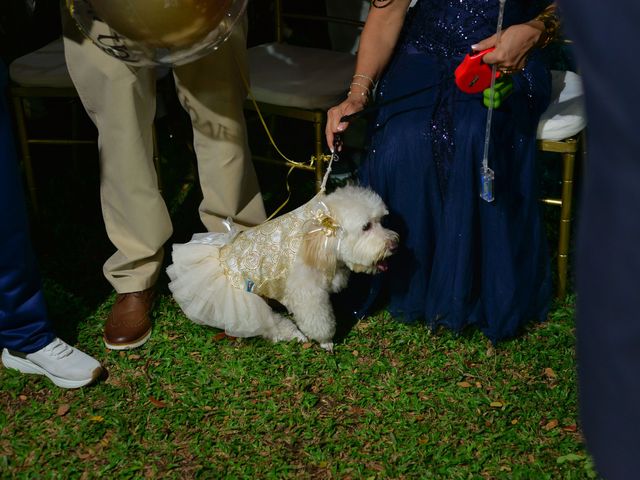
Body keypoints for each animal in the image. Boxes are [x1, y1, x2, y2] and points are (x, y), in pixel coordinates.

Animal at [166, 186, 396, 350]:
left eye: (381, 221)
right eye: (366, 227)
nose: (394, 244)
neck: (320, 237)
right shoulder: (307, 293)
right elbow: (318, 320)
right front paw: (326, 341)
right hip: (244, 298)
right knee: (269, 323)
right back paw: (296, 335)